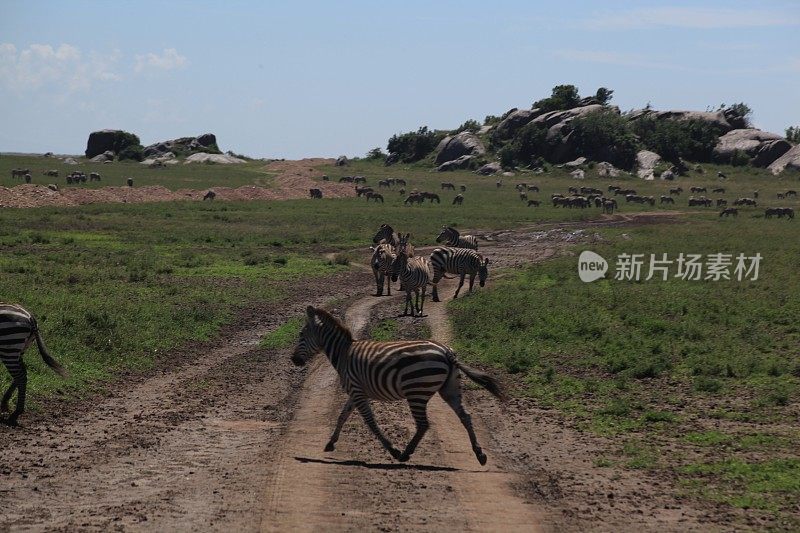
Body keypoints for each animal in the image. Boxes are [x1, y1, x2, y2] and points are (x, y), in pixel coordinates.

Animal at [294, 306, 506, 464]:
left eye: (301, 335)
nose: (293, 360)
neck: (343, 353)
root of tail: (447, 352)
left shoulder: (357, 392)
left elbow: (370, 422)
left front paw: (393, 450)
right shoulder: (355, 393)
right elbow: (342, 416)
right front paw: (330, 443)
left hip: (416, 392)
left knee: (423, 424)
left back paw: (405, 454)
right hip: (449, 389)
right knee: (465, 417)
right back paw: (480, 454)